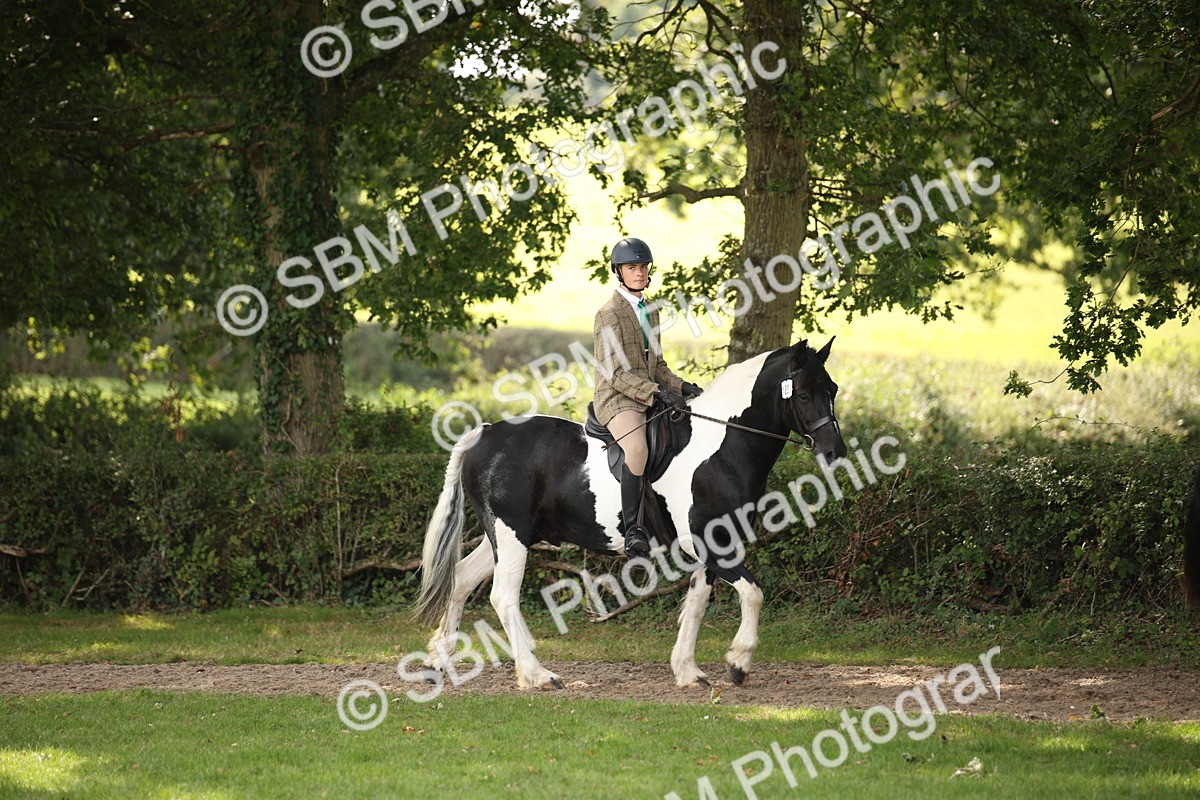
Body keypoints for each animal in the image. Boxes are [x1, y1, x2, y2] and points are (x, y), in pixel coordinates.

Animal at [415, 338, 848, 690]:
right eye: (803, 395)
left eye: (832, 390)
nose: (834, 452)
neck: (721, 446)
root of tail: (485, 433)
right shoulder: (711, 544)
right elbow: (753, 594)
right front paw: (738, 663)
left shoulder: (715, 544)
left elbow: (697, 603)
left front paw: (688, 671)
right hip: (510, 535)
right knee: (503, 597)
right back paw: (538, 676)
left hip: (507, 536)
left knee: (461, 579)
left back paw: (439, 662)